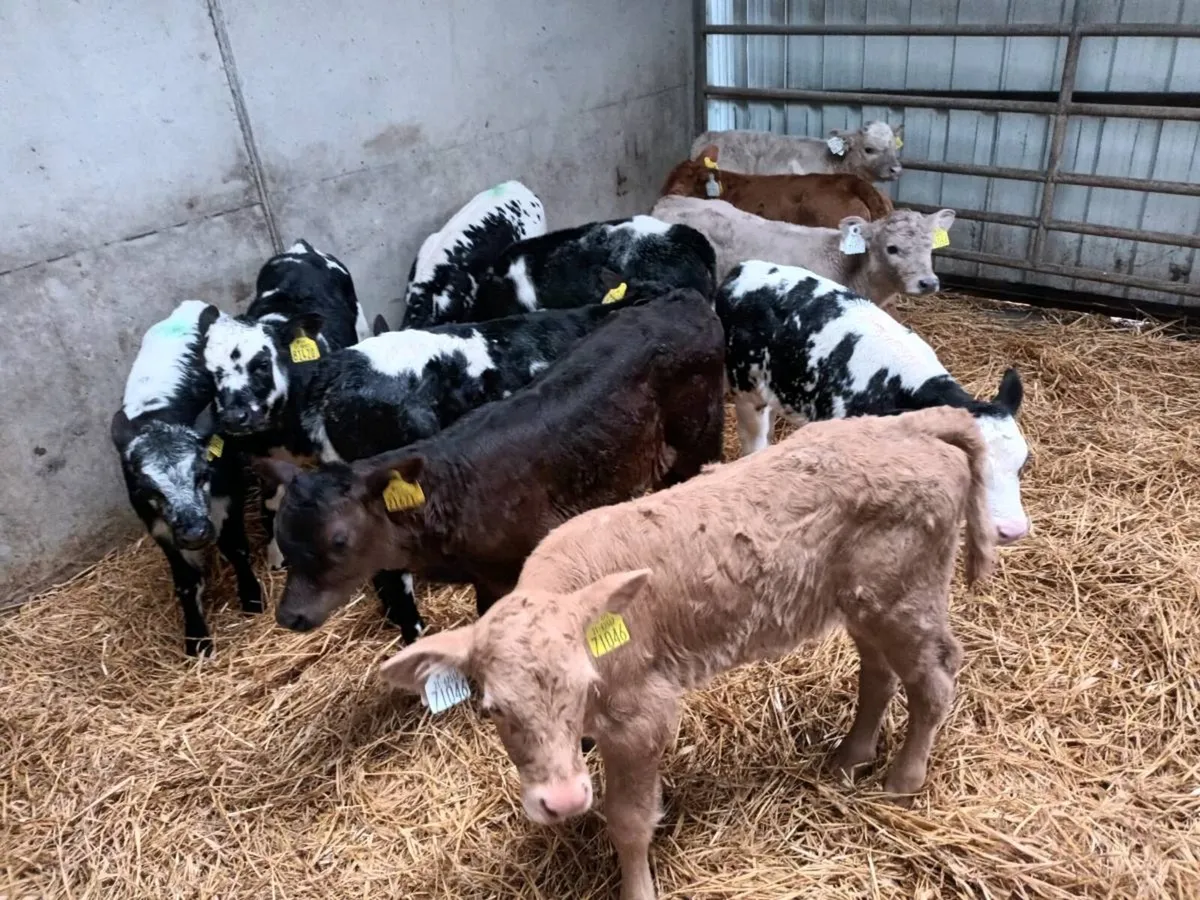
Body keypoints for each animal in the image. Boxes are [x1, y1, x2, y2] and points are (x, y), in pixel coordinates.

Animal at [110, 300, 263, 657]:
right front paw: (196, 637)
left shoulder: (228, 494)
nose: (195, 533)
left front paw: (251, 596)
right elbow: (185, 580)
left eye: (203, 472)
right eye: (147, 488)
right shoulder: (159, 526)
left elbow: (237, 548)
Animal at [378, 406, 995, 900]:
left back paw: (902, 782)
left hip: (908, 599)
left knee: (935, 680)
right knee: (879, 674)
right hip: (866, 602)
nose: (562, 801)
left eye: (582, 687)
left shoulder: (642, 717)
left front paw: (636, 889)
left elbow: (628, 821)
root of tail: (910, 424)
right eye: (492, 710)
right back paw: (849, 758)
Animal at [719, 260, 1031, 544]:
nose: (1012, 531)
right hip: (746, 390)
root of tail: (744, 268)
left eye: (1023, 464)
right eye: (974, 472)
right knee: (753, 440)